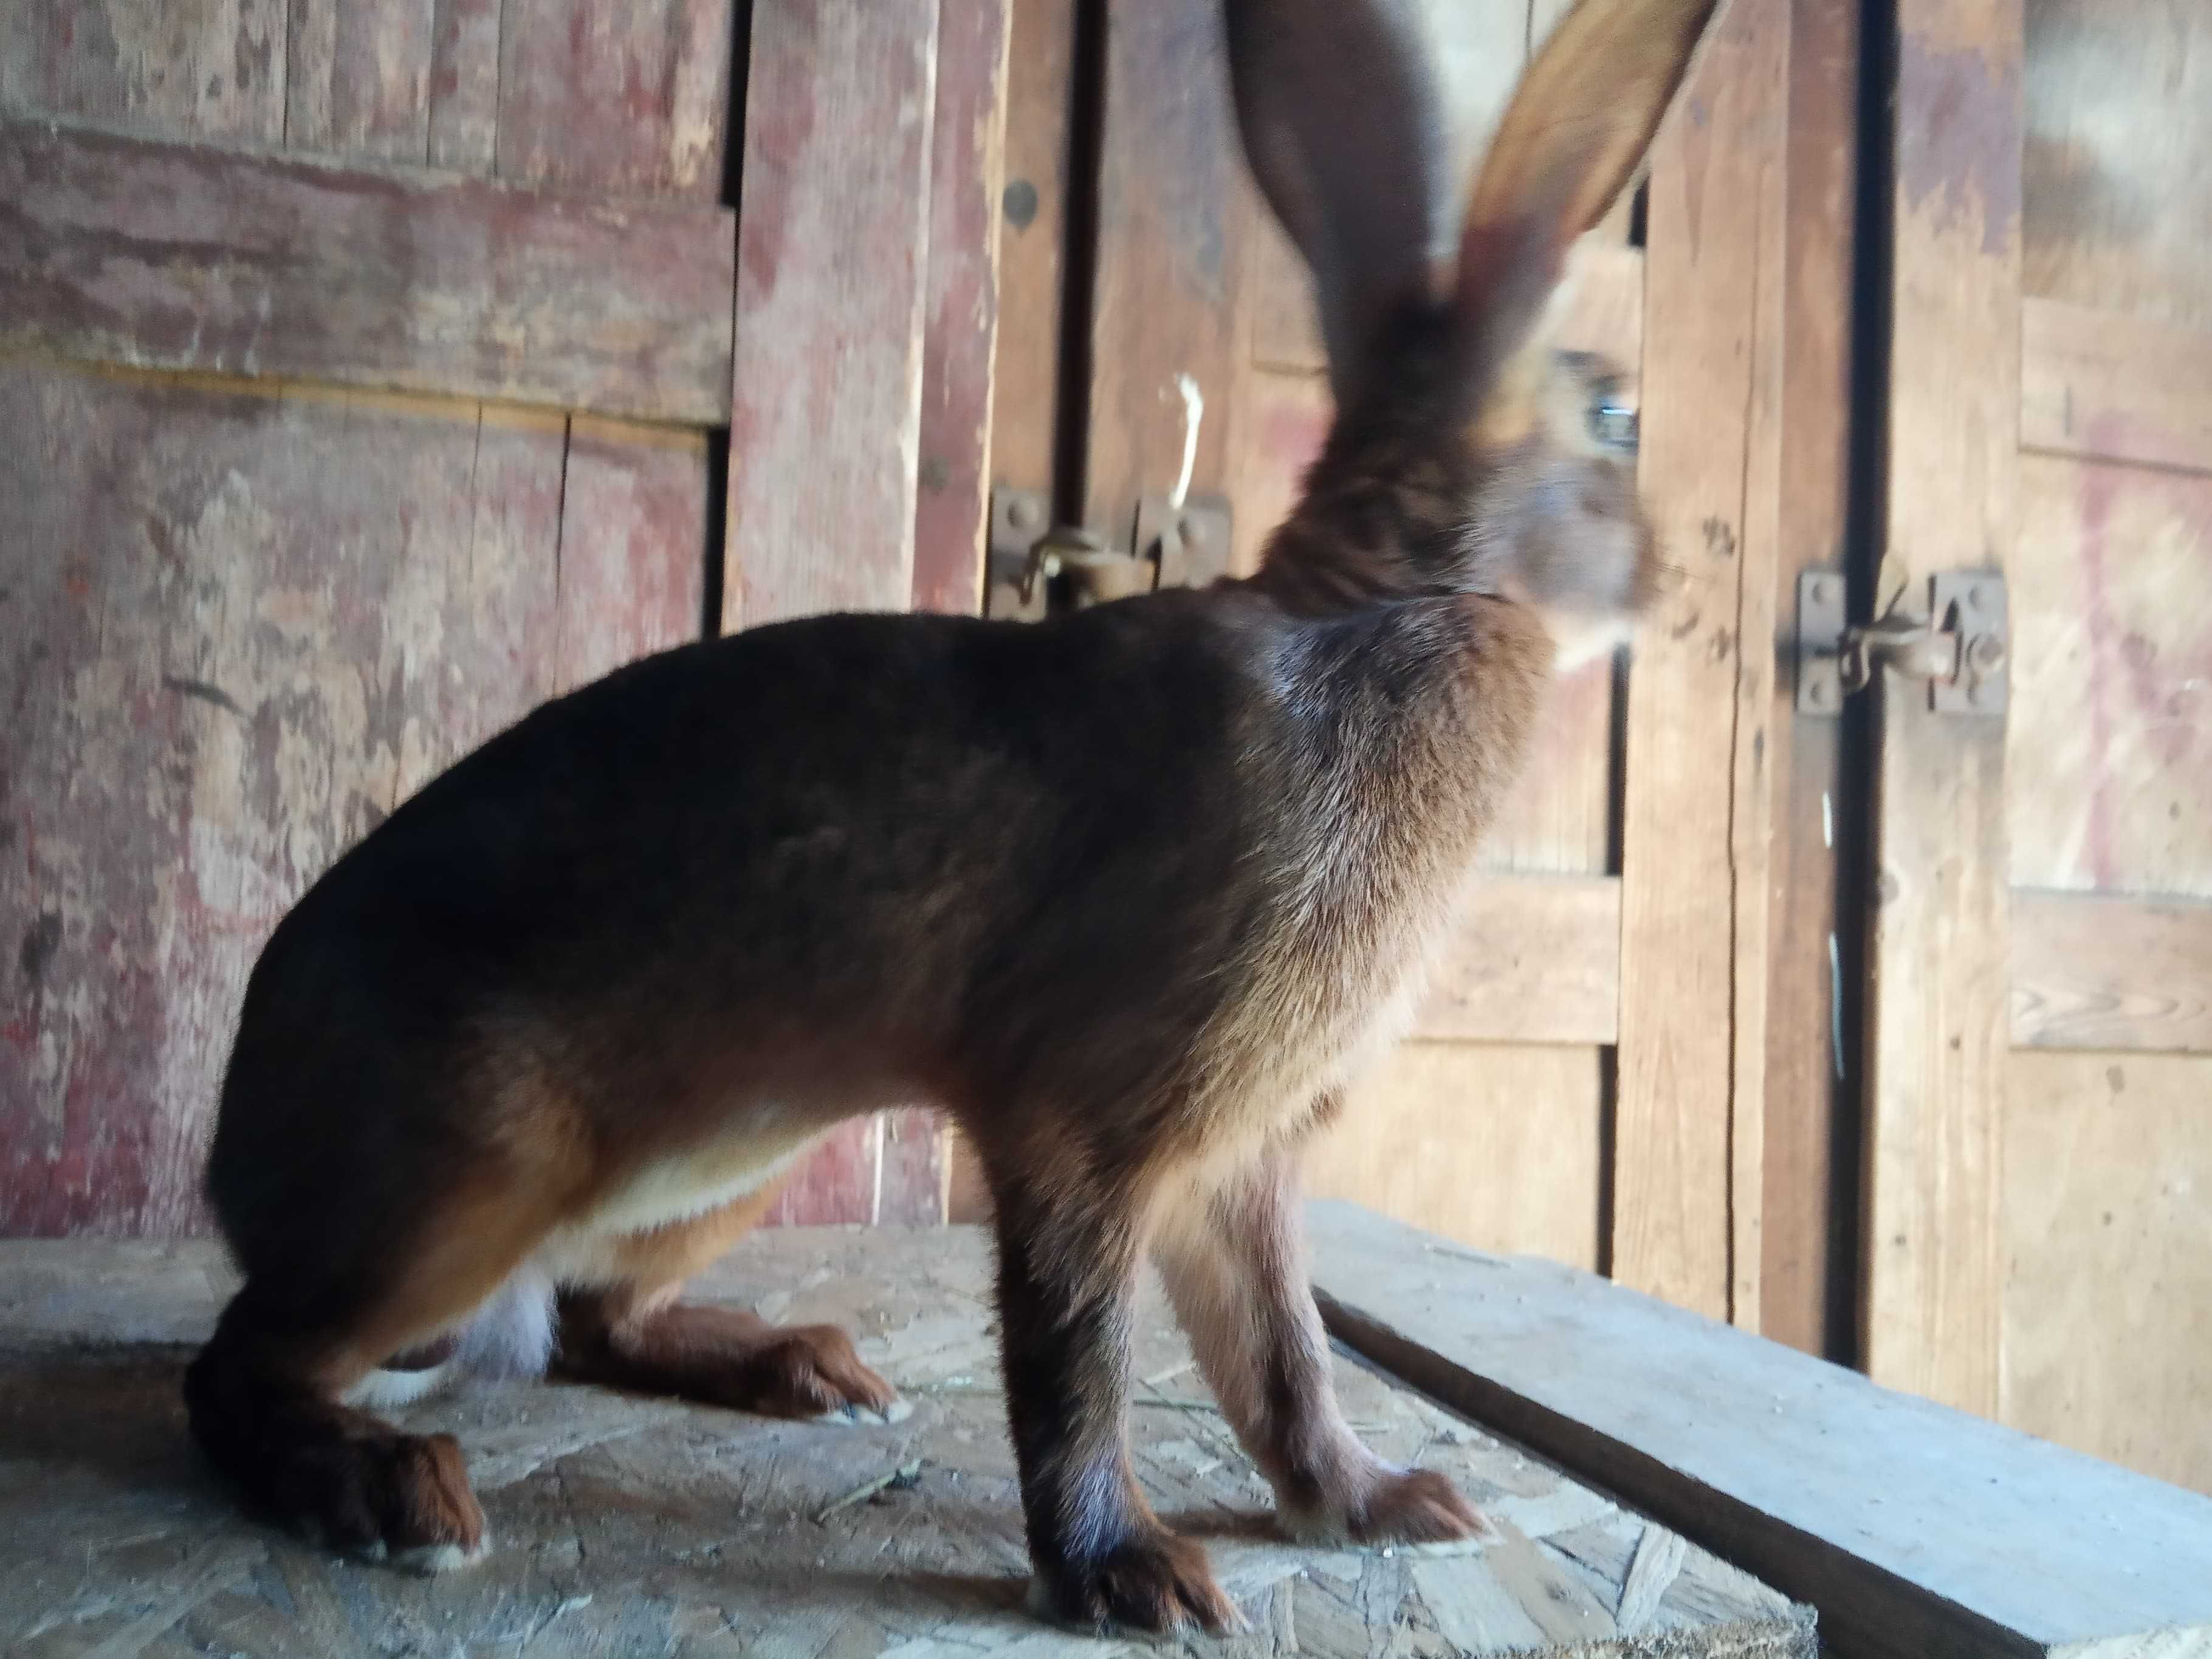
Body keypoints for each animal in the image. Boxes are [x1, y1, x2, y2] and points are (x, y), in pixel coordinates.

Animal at [181, 0, 1716, 1637]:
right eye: (1615, 416)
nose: (1669, 580)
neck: (1399, 600)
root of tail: (237, 1157)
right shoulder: (1083, 1124)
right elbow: (1077, 1359)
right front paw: (1130, 1576)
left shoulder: (1232, 1170)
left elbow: (1280, 1355)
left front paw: (1381, 1507)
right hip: (470, 1168)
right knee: (239, 1367)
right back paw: (391, 1491)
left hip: (727, 1165)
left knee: (592, 1316)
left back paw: (801, 1370)